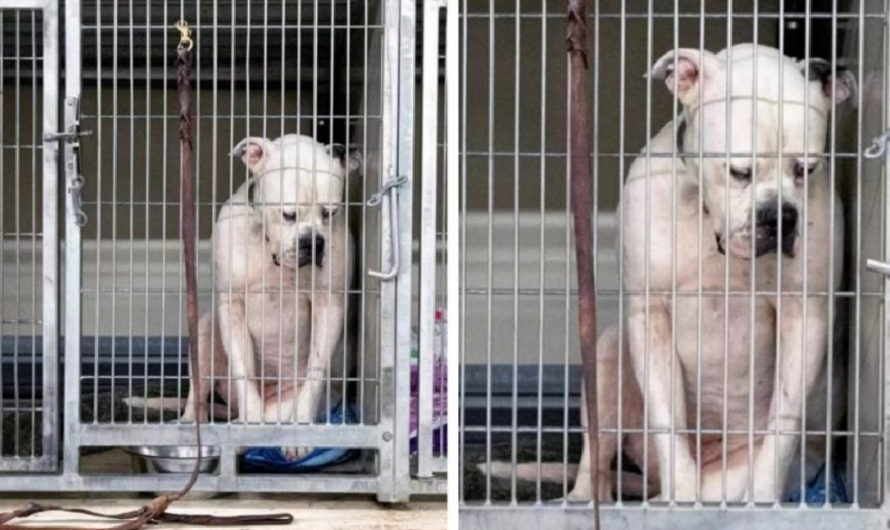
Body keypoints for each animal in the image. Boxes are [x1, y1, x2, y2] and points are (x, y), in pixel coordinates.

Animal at [125, 133, 360, 458]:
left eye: (330, 213)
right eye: (288, 214)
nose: (313, 242)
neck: (269, 250)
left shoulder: (330, 306)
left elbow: (314, 372)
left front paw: (299, 435)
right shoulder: (231, 306)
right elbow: (243, 370)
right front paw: (250, 424)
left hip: (285, 403)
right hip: (205, 329)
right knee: (200, 398)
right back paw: (193, 428)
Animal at [568, 44, 852, 500]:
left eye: (805, 170)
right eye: (739, 172)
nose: (779, 216)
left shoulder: (805, 317)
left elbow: (782, 427)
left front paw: (764, 502)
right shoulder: (651, 314)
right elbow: (669, 421)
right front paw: (679, 502)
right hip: (609, 350)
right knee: (599, 451)